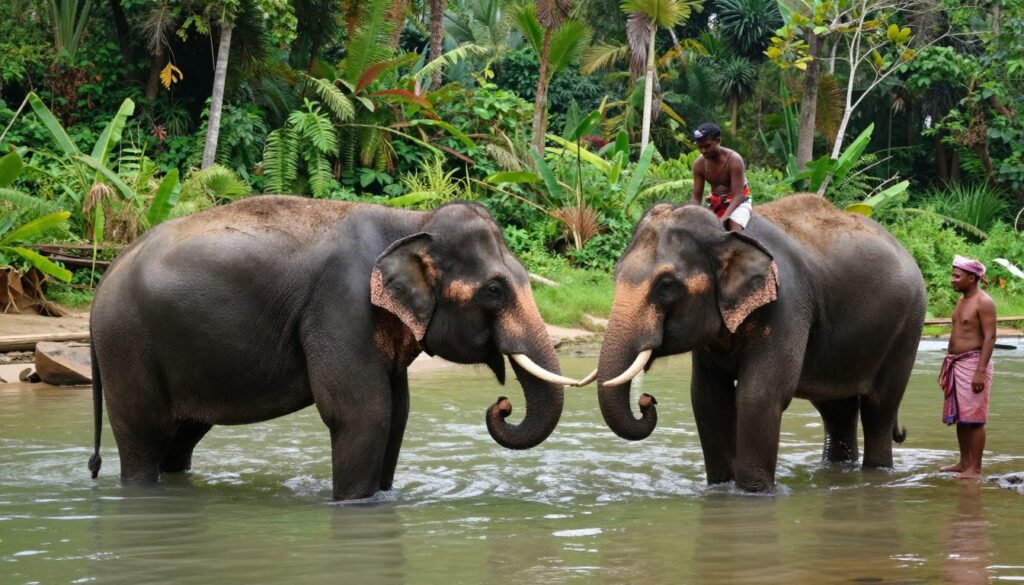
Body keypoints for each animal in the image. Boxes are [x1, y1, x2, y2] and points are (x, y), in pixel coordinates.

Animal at [87, 195, 576, 501]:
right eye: (494, 290)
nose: (502, 405)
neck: (411, 222)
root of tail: (103, 280)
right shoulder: (340, 304)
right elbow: (362, 413)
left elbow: (396, 413)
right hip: (127, 345)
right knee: (142, 434)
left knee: (182, 436)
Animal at [591, 194, 926, 492]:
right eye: (615, 274)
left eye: (666, 284)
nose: (646, 399)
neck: (725, 235)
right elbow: (707, 398)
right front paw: (720, 488)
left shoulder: (787, 304)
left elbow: (760, 394)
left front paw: (753, 492)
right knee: (836, 409)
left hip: (907, 327)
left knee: (879, 407)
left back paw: (876, 473)